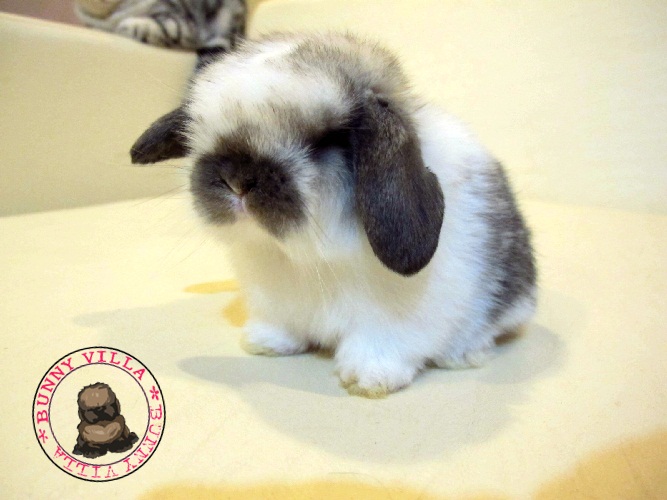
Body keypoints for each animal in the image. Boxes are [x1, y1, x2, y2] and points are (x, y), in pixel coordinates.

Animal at [131, 33, 537, 398]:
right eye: (201, 126)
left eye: (328, 140)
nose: (236, 180)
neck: (303, 257)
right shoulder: (274, 304)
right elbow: (280, 326)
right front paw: (264, 343)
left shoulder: (390, 322)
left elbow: (381, 347)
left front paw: (370, 379)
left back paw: (464, 353)